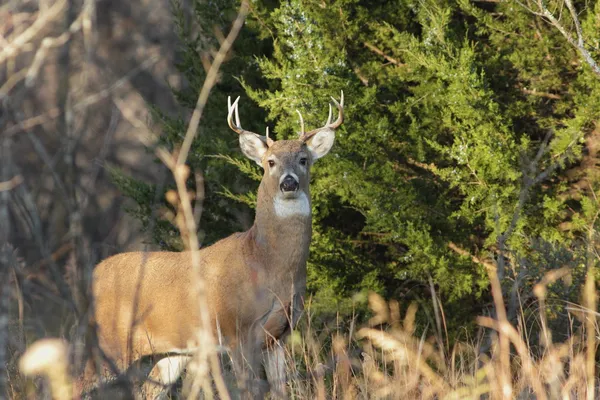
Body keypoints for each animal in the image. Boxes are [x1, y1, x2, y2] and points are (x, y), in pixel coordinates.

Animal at [83, 92, 346, 398]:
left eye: (303, 159)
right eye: (270, 162)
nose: (289, 183)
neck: (266, 261)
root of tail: (94, 274)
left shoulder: (279, 333)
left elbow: (280, 390)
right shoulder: (237, 329)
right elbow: (247, 391)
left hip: (172, 353)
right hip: (109, 340)